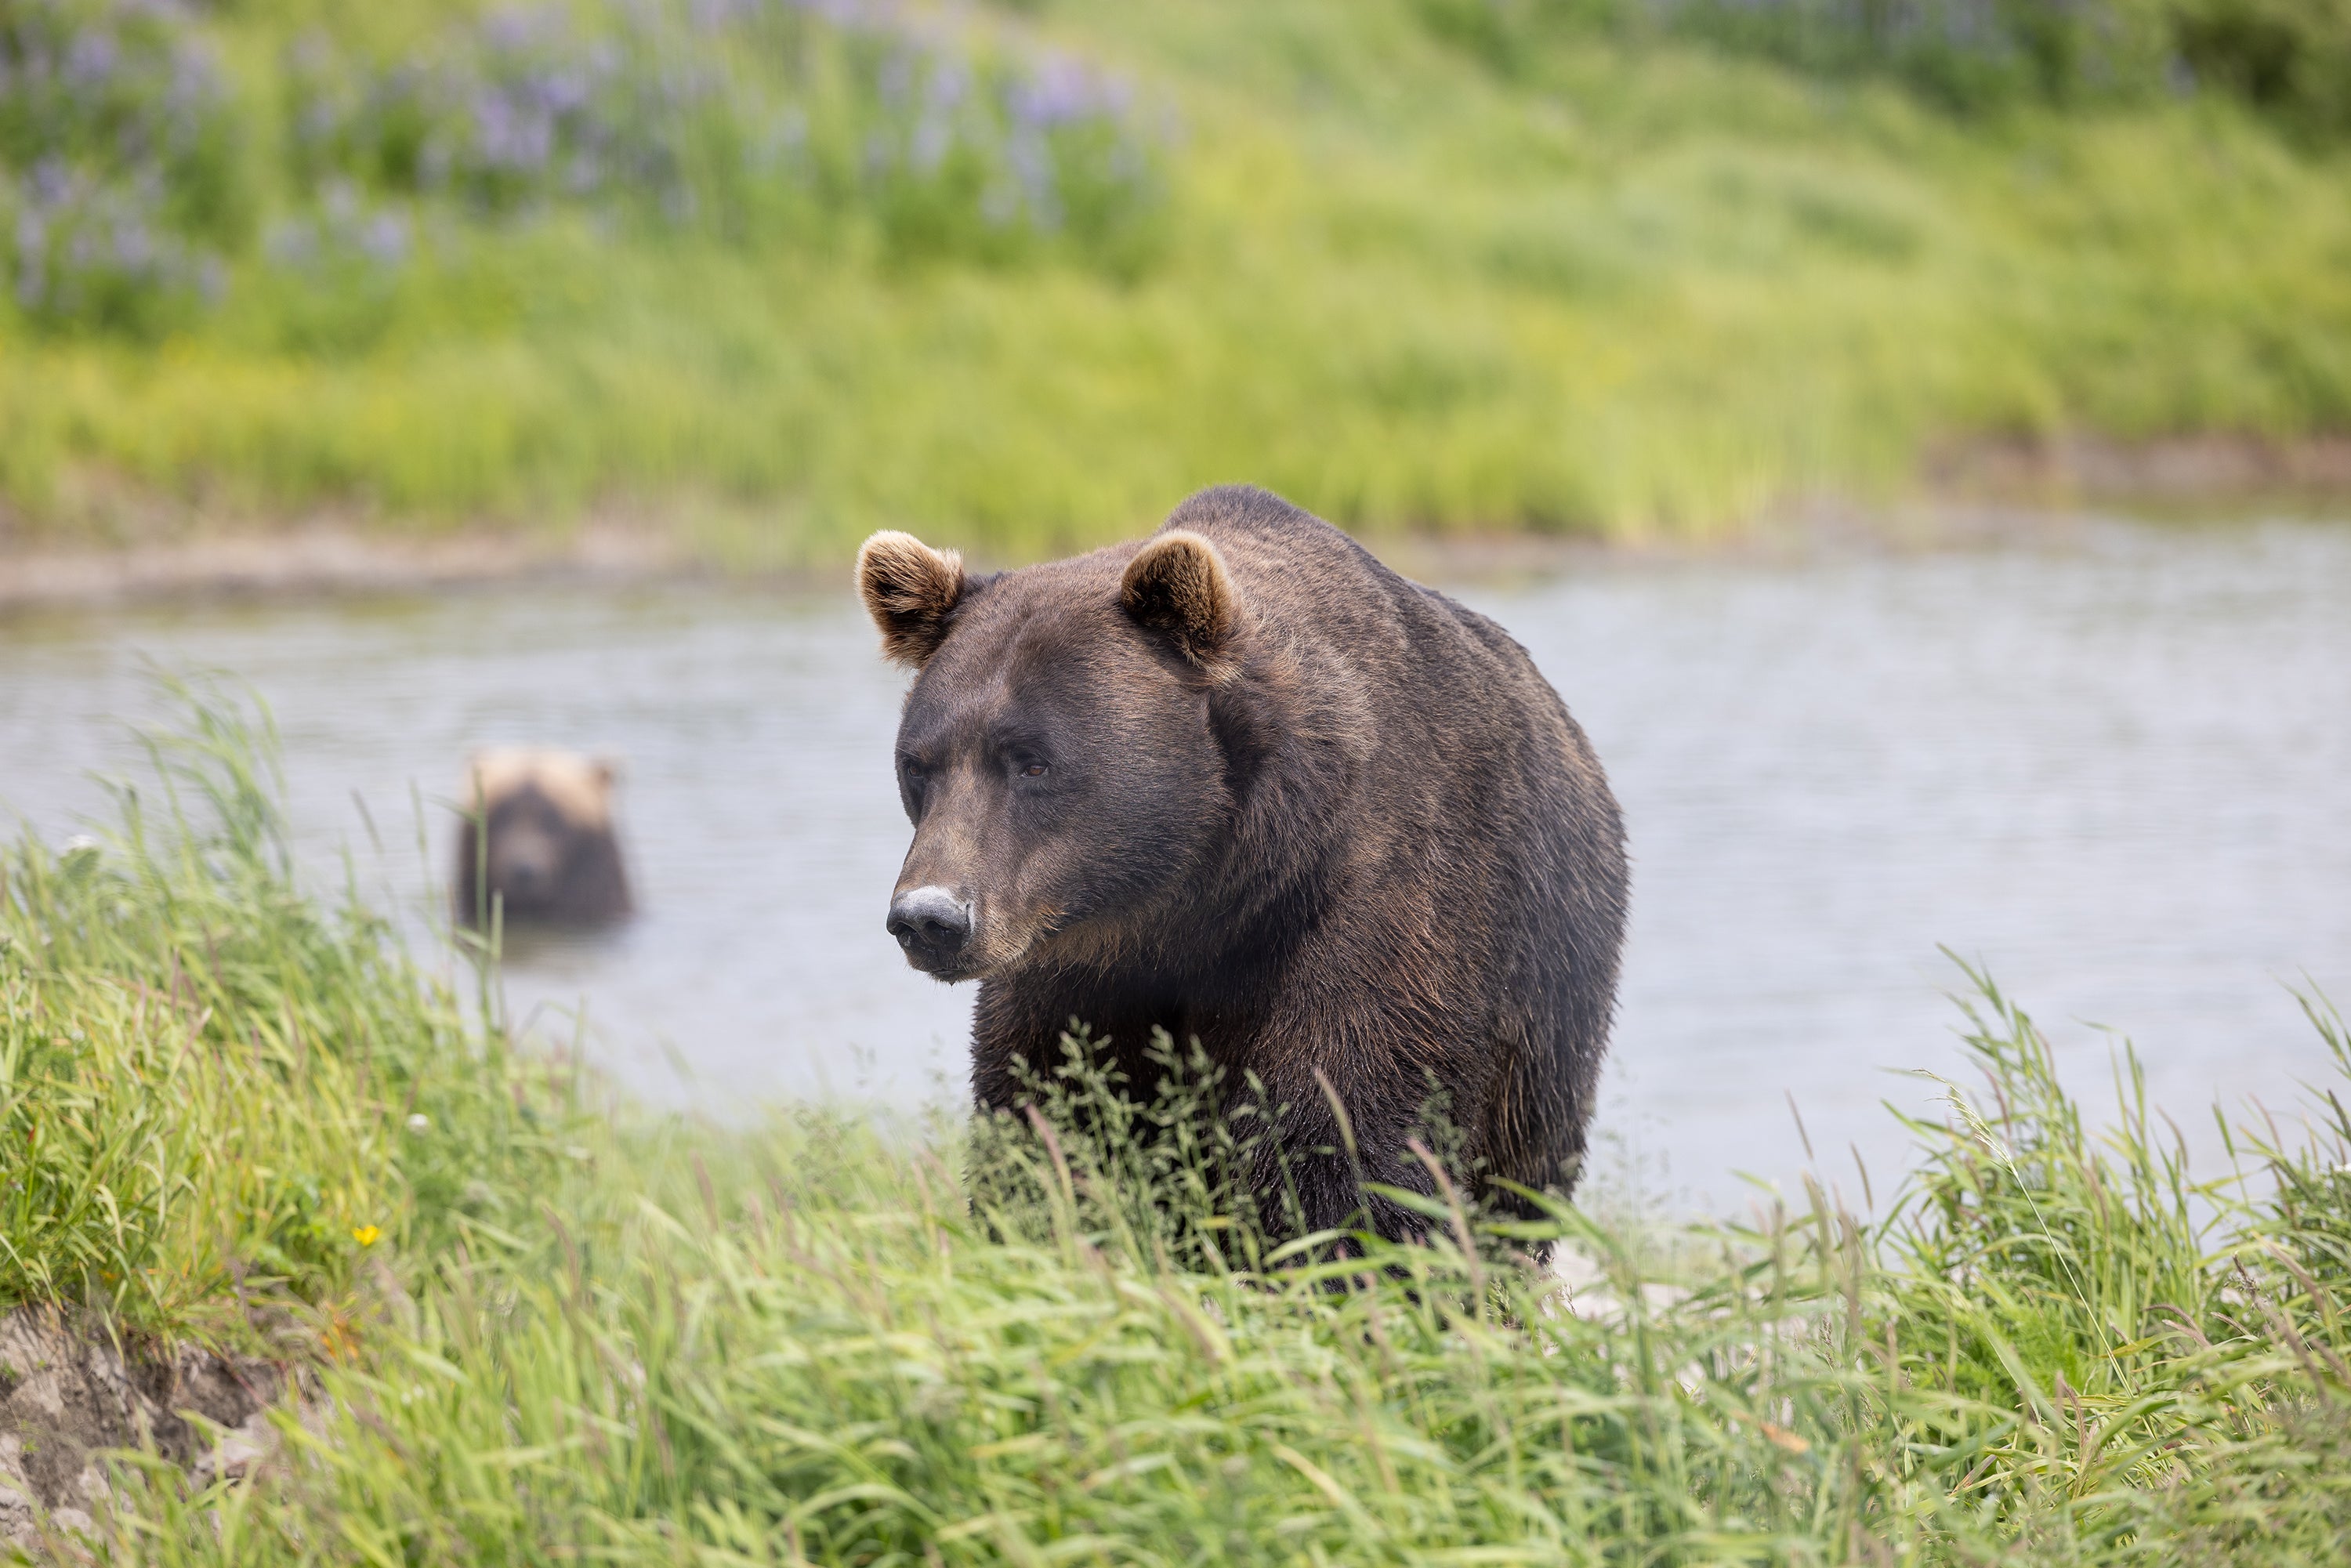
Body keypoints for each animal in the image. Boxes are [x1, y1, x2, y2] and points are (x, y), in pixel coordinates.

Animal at [858, 484, 1628, 1242]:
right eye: (918, 763)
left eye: (1034, 761)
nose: (929, 917)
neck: (1196, 899)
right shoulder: (1072, 965)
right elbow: (1057, 1115)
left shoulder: (1374, 909)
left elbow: (1344, 1136)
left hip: (1546, 995)